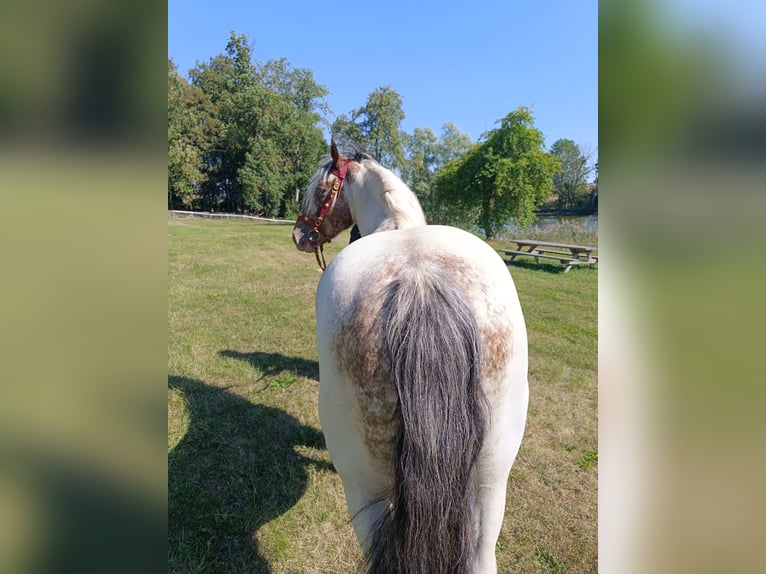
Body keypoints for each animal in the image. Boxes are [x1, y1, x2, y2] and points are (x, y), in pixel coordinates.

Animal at [292, 141, 528, 574]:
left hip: (363, 485)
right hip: (492, 479)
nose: (299, 234)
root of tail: (420, 277)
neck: (397, 227)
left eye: (319, 189)